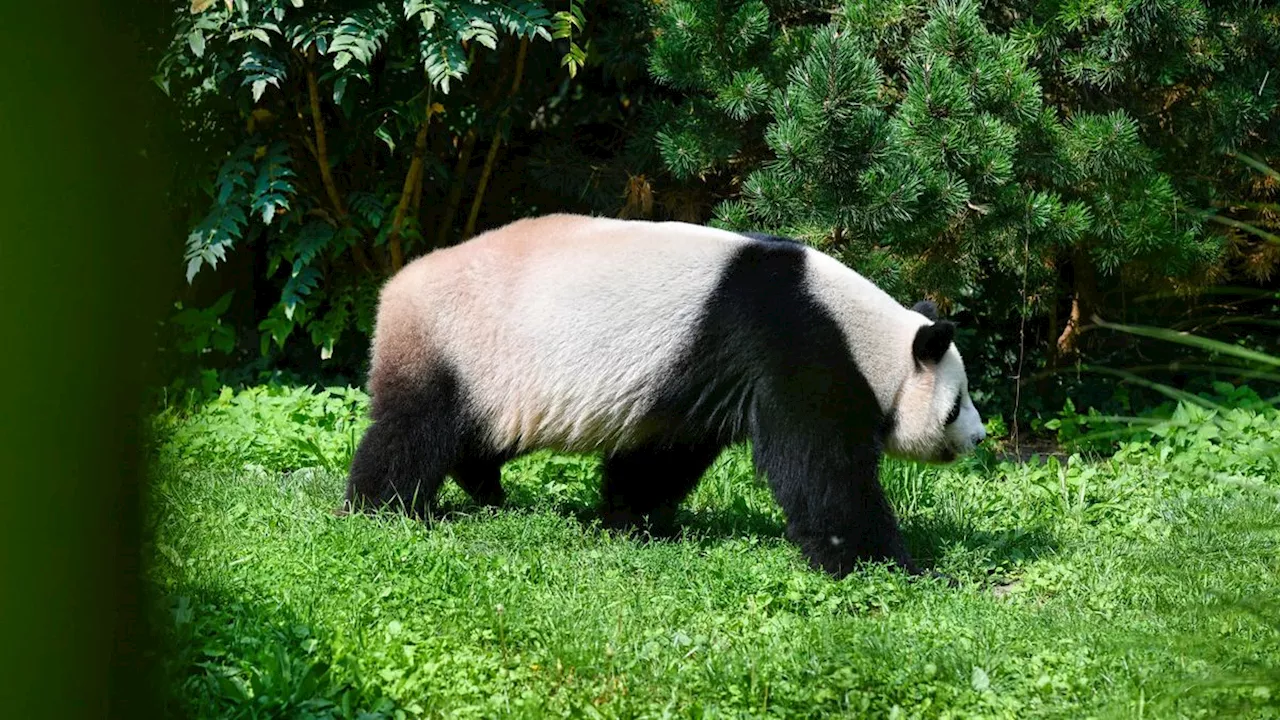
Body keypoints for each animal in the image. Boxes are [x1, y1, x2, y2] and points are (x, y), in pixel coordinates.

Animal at [345, 210, 983, 573]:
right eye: (955, 406)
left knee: (477, 436)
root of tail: (395, 286)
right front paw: (894, 565)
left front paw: (631, 519)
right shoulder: (792, 344)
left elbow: (663, 452)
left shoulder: (696, 375)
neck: (865, 333)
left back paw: (485, 490)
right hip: (458, 342)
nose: (978, 438)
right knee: (413, 430)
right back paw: (383, 509)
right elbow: (820, 467)